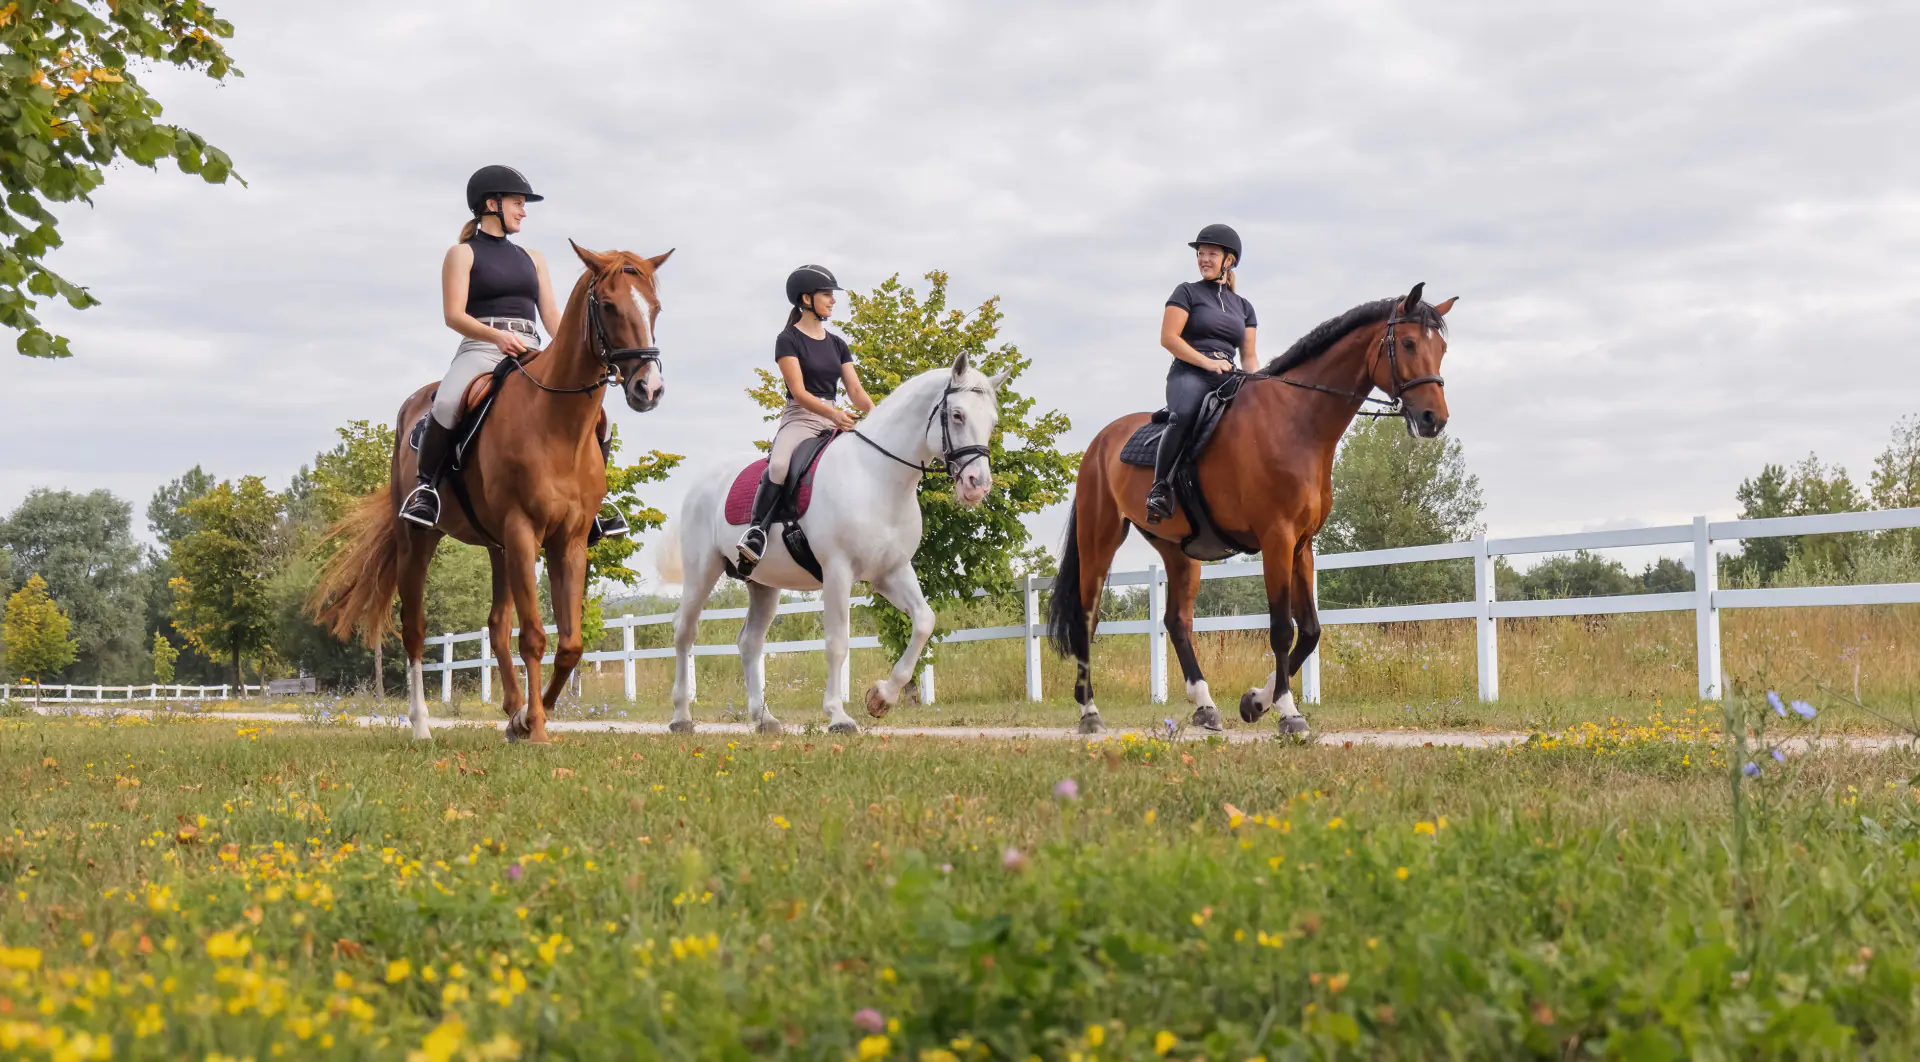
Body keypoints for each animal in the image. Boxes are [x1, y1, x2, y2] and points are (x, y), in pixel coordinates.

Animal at [311, 241, 672, 741]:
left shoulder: (569, 540)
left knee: (497, 626)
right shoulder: (523, 530)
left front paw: (528, 718)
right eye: (608, 305)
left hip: (498, 546)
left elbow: (570, 643)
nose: (649, 388)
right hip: (419, 540)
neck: (557, 423)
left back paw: (512, 711)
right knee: (415, 628)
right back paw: (421, 727)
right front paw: (536, 728)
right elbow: (535, 636)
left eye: (655, 308)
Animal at [656, 351, 1006, 733]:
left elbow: (924, 621)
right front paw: (839, 716)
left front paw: (881, 698)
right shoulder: (838, 572)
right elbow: (838, 643)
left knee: (749, 642)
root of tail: (701, 483)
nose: (977, 485)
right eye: (957, 415)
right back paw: (681, 717)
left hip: (763, 584)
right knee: (684, 631)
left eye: (992, 421)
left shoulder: (892, 572)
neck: (876, 476)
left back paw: (764, 719)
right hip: (702, 572)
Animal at [1052, 286, 1451, 741]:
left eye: (1440, 348)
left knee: (1177, 621)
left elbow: (1310, 631)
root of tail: (1100, 442)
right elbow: (1282, 629)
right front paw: (1287, 712)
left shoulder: (1301, 544)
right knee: (1086, 619)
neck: (1296, 420)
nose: (1434, 419)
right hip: (1099, 540)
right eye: (1409, 343)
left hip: (1179, 551)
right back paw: (1090, 712)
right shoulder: (1276, 538)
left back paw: (1205, 705)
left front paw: (1256, 702)